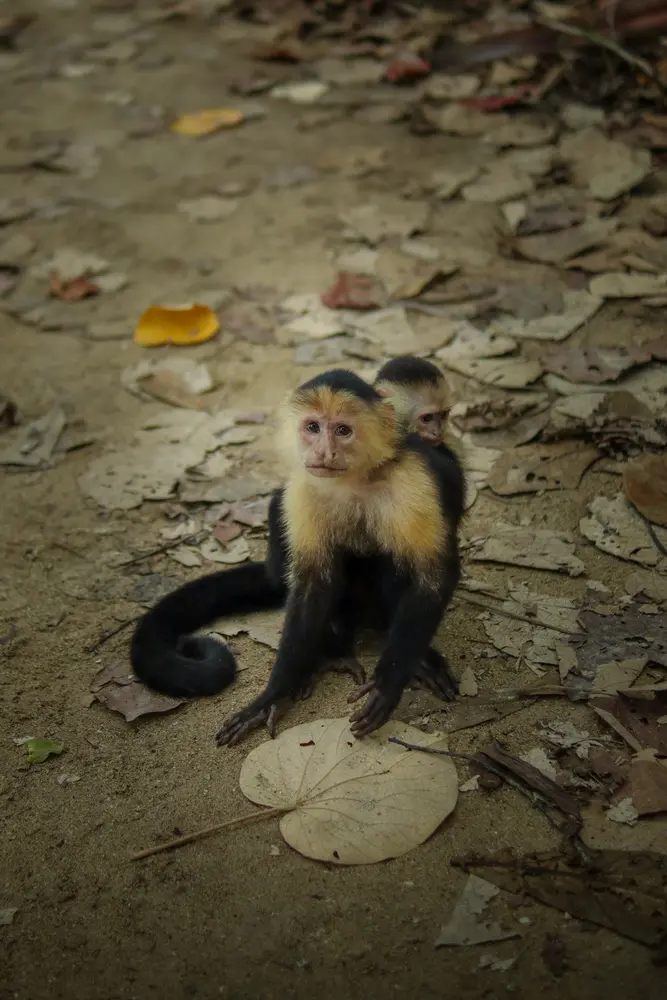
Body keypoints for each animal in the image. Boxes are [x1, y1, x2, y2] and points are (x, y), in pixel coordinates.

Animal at [130, 358, 462, 706]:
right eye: (313, 427)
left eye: (343, 430)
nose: (324, 452)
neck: (353, 479)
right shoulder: (304, 487)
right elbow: (313, 581)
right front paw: (276, 692)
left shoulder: (413, 480)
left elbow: (433, 575)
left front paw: (388, 684)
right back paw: (333, 652)